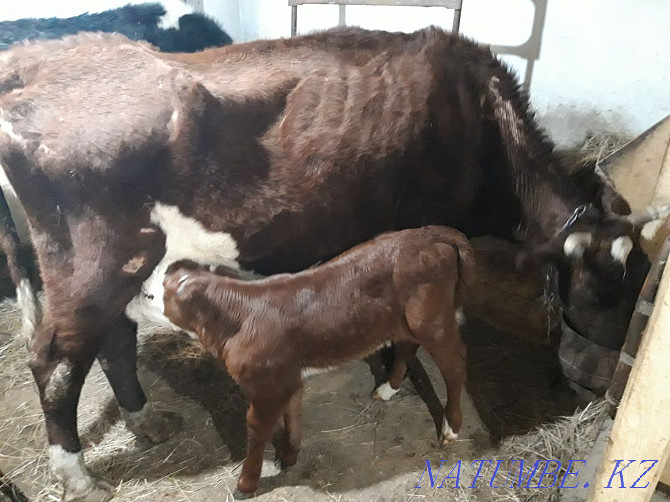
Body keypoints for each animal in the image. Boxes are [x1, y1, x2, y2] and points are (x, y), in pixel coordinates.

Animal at [163, 227, 478, 494]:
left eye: (160, 292)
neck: (237, 314)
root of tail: (431, 232)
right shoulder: (286, 377)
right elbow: (292, 411)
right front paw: (289, 456)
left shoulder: (266, 384)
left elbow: (257, 427)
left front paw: (246, 483)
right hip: (404, 319)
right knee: (406, 347)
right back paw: (387, 389)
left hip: (432, 320)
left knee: (455, 363)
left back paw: (450, 428)